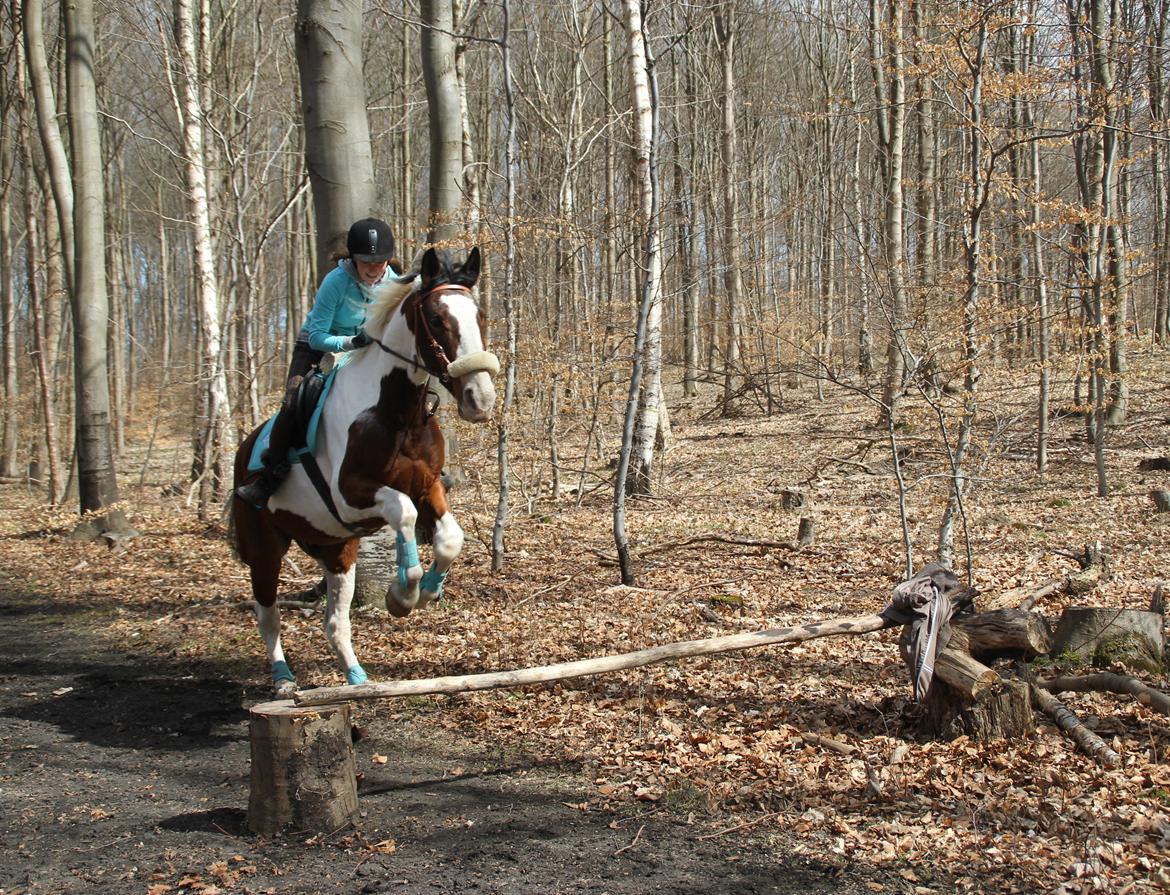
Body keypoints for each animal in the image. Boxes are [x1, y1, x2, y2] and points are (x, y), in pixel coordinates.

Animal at [229, 245, 498, 697]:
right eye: (438, 319)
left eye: (479, 316)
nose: (480, 399)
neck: (396, 413)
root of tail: (244, 450)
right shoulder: (350, 496)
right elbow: (403, 511)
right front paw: (403, 594)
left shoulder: (427, 485)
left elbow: (449, 538)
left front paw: (427, 591)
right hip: (266, 549)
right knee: (268, 616)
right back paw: (283, 678)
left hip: (336, 549)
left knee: (335, 620)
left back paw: (355, 676)